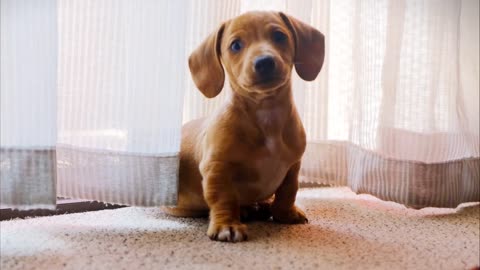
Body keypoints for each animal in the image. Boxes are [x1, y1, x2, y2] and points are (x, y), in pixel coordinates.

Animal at [165, 11, 326, 243]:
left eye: (279, 36)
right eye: (235, 45)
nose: (264, 62)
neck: (267, 114)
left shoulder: (293, 166)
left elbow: (288, 192)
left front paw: (285, 213)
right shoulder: (217, 168)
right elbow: (224, 198)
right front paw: (227, 225)